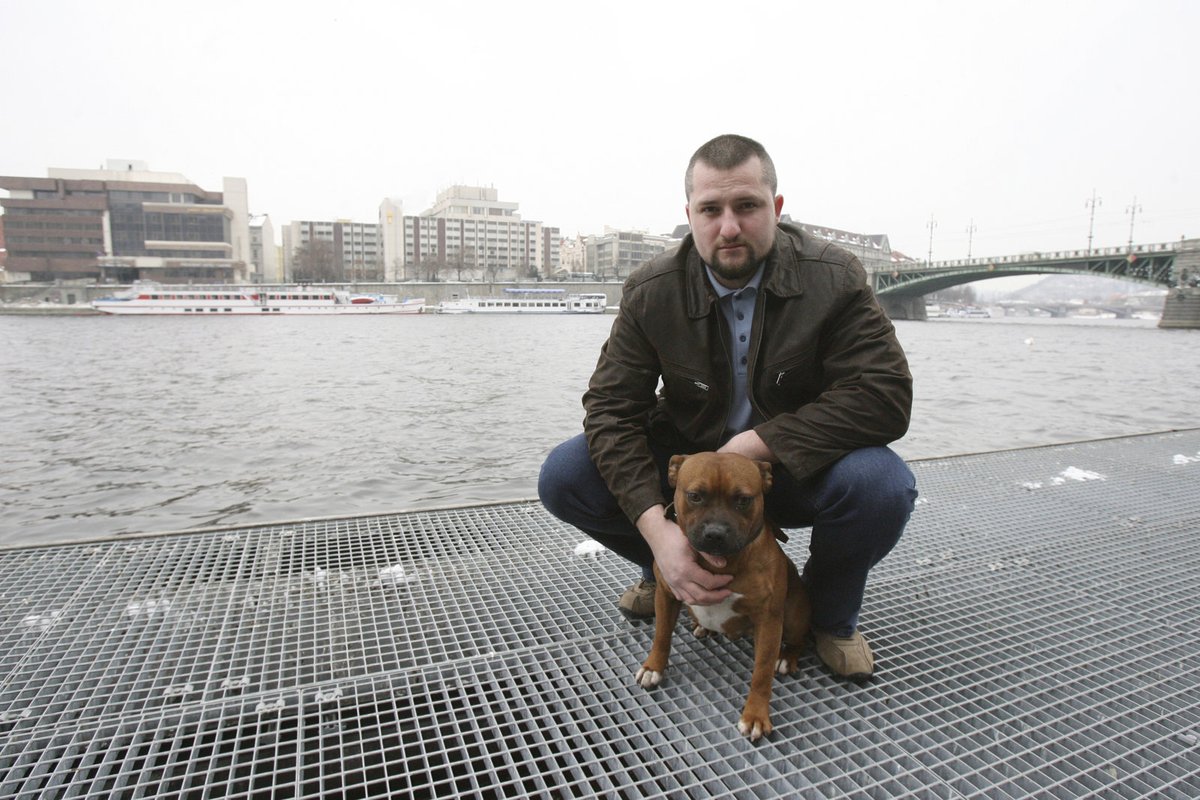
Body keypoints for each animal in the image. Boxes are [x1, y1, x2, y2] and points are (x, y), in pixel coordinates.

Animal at [638, 453, 806, 743]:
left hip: (794, 618)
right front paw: (653, 667)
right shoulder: (666, 593)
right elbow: (661, 635)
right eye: (695, 496)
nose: (715, 533)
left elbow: (761, 673)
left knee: (798, 641)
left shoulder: (769, 620)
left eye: (743, 499)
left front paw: (756, 715)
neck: (719, 564)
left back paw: (786, 657)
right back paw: (702, 627)